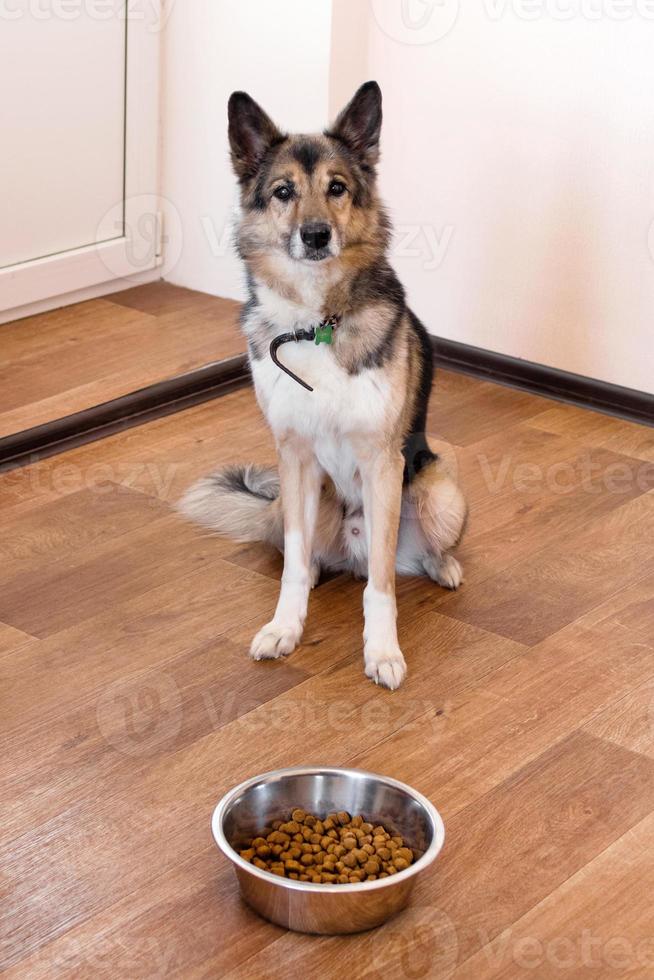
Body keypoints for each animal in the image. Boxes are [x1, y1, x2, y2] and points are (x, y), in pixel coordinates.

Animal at [179, 80, 466, 688]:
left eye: (337, 188)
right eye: (283, 192)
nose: (315, 236)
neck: (316, 325)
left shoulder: (382, 463)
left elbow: (381, 587)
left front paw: (382, 651)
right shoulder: (293, 457)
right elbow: (291, 563)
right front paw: (285, 627)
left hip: (437, 490)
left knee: (405, 553)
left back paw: (442, 564)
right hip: (282, 504)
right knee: (302, 553)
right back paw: (315, 570)